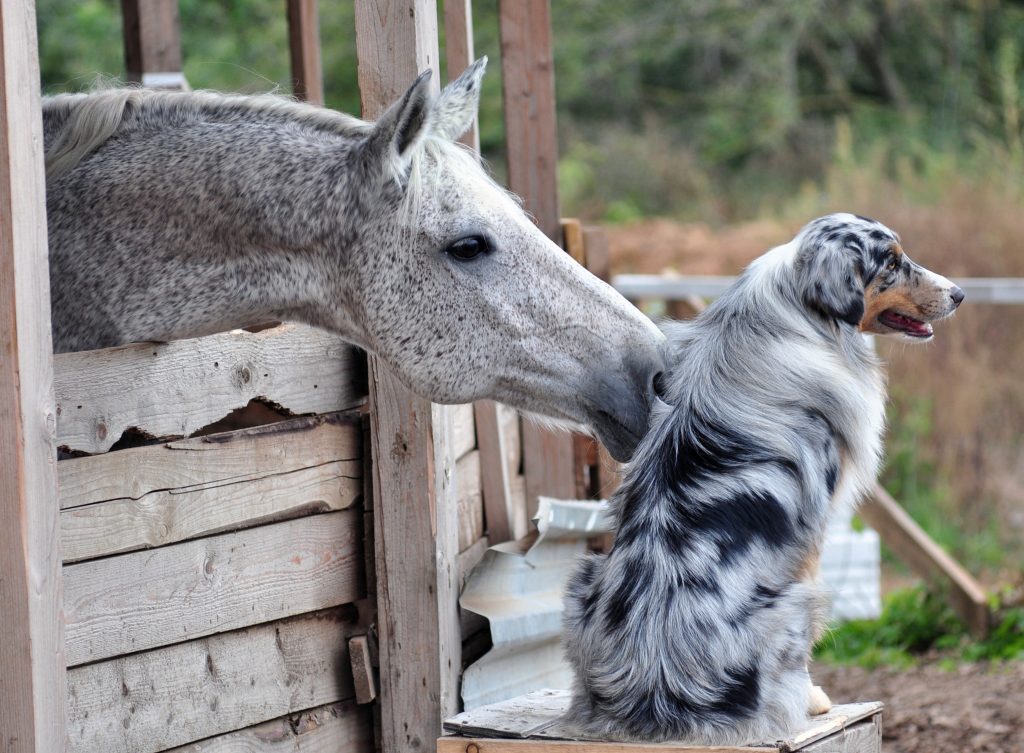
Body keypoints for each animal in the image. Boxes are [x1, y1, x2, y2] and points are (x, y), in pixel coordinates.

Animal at [565, 215, 962, 745]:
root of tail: (655, 695)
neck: (798, 315)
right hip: (798, 601)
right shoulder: (811, 530)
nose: (959, 293)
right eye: (893, 263)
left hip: (583, 579)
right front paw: (814, 699)